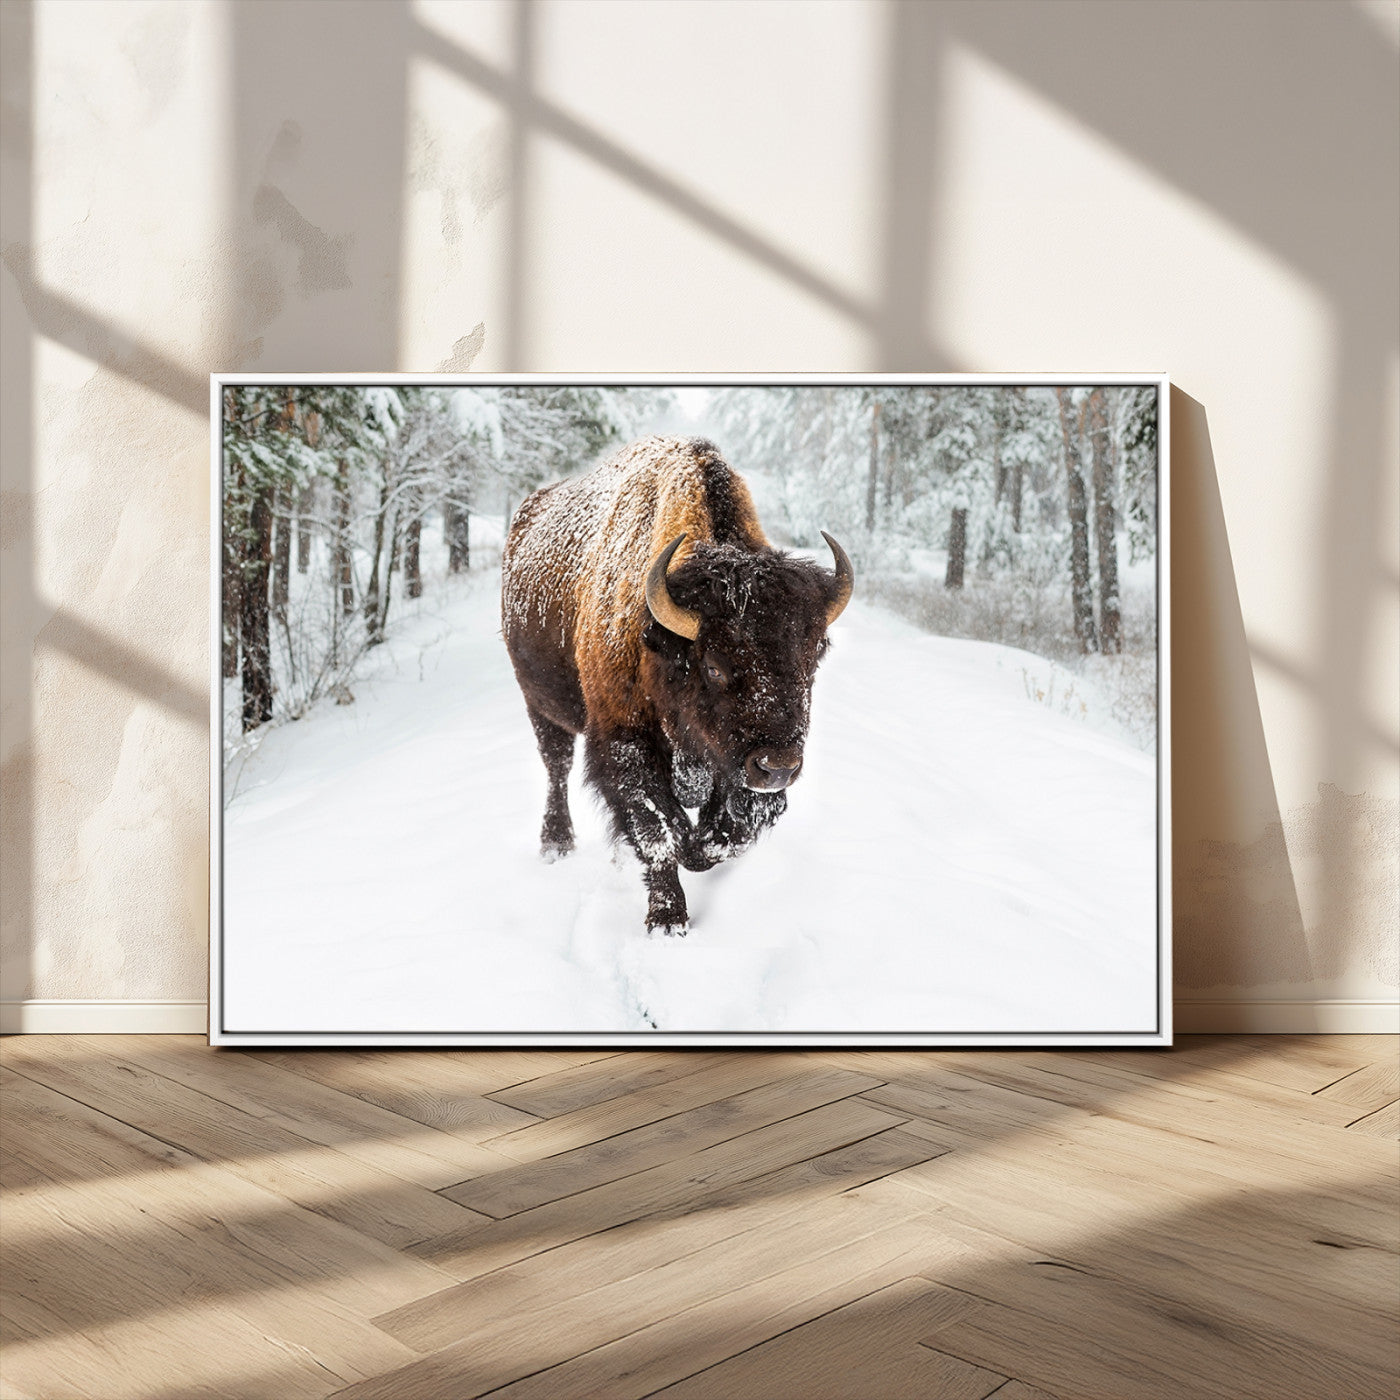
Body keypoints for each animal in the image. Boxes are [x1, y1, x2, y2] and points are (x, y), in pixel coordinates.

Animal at [502, 435, 852, 935]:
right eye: (714, 666)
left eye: (814, 656)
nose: (779, 767)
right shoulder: (625, 742)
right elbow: (658, 831)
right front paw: (667, 920)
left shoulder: (731, 764)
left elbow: (729, 833)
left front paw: (699, 849)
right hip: (539, 703)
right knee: (556, 764)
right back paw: (556, 844)